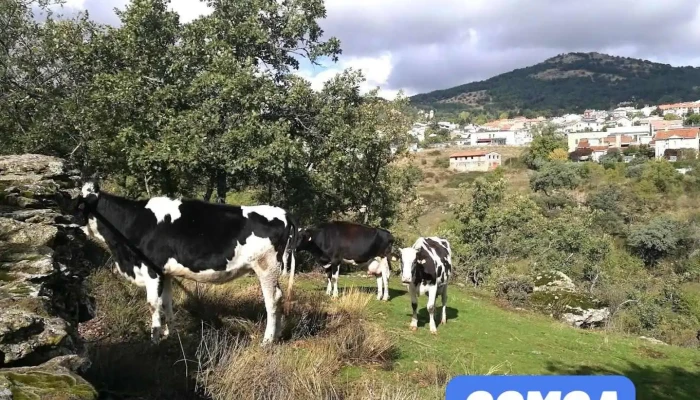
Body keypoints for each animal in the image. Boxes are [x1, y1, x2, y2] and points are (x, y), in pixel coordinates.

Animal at [74, 180, 298, 344]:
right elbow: (167, 303)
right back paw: (277, 336)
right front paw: (170, 335)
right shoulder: (165, 273)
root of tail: (283, 212)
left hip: (266, 266)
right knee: (278, 298)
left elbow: (153, 304)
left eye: (77, 204)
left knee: (272, 300)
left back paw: (267, 340)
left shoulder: (151, 270)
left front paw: (154, 340)